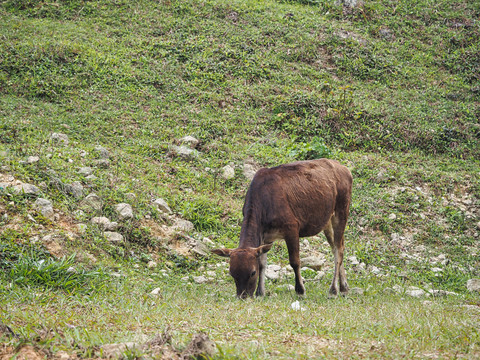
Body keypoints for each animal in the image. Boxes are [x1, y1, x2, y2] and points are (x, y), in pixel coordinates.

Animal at [213, 158, 352, 298]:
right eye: (231, 273)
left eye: (252, 272)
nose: (243, 296)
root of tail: (345, 169)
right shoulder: (266, 236)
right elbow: (262, 263)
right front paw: (260, 292)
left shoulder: (292, 227)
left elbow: (295, 261)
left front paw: (300, 290)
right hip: (327, 222)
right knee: (337, 247)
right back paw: (344, 287)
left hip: (341, 211)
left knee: (339, 250)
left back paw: (333, 290)